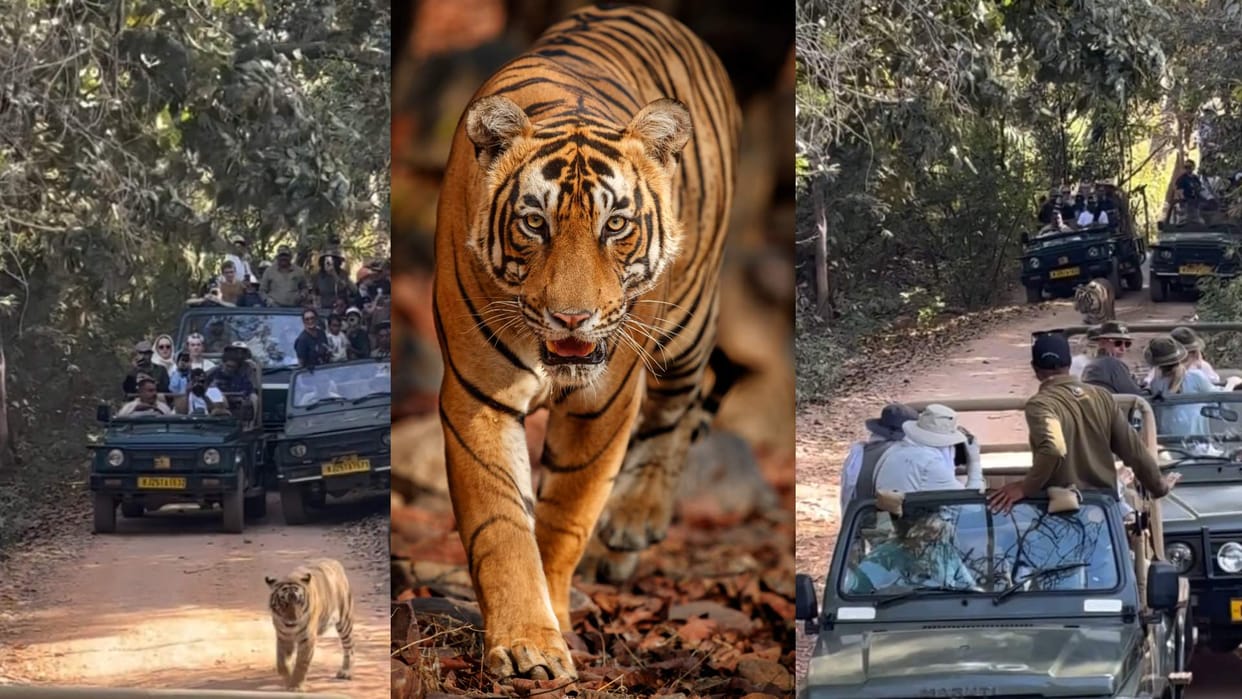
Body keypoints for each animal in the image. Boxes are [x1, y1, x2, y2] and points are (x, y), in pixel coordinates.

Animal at [265, 558, 355, 691]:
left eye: (298, 602)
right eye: (284, 603)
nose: (293, 620)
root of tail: (334, 561)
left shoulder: (307, 639)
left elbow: (301, 663)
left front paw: (295, 686)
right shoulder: (283, 637)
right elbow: (282, 663)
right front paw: (288, 680)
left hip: (345, 620)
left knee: (349, 647)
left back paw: (346, 672)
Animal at [431, 3, 740, 682]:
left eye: (615, 225)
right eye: (534, 223)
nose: (571, 318)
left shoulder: (605, 403)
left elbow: (565, 518)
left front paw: (553, 616)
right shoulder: (478, 398)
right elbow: (502, 525)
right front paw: (528, 643)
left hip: (686, 323)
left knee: (680, 407)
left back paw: (633, 520)